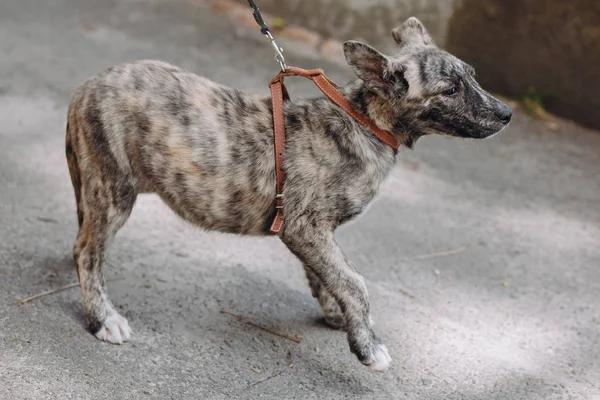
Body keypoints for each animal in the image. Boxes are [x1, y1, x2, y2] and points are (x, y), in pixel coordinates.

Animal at [64, 16, 510, 372]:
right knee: (87, 250)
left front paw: (338, 315)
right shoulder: (304, 226)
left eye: (473, 76)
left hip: (93, 184)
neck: (364, 121)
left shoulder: (314, 232)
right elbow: (354, 282)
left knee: (84, 239)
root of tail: (86, 86)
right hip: (114, 188)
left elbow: (328, 274)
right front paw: (367, 345)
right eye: (450, 90)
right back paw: (104, 318)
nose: (506, 114)